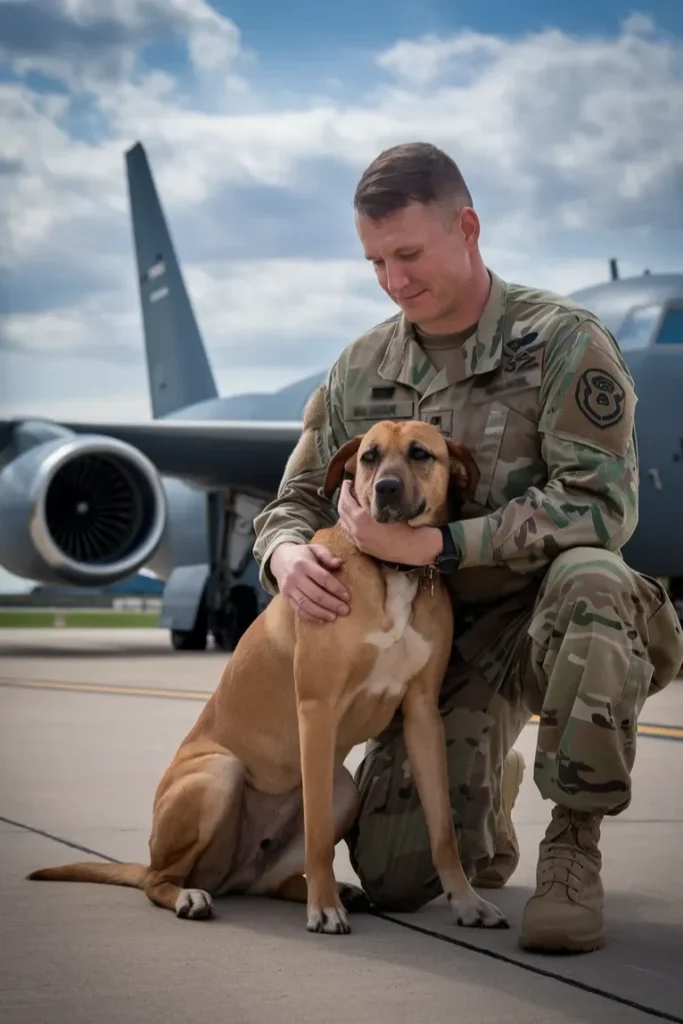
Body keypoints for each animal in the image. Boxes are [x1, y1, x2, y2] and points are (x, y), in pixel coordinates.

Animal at [28, 417, 507, 937]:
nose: (386, 489)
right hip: (221, 774)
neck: (390, 570)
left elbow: (442, 830)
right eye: (369, 457)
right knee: (160, 879)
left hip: (343, 792)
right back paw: (195, 896)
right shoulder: (316, 710)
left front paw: (467, 901)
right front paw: (323, 909)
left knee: (270, 881)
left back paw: (332, 890)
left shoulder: (422, 714)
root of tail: (229, 876)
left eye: (420, 453)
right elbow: (318, 837)